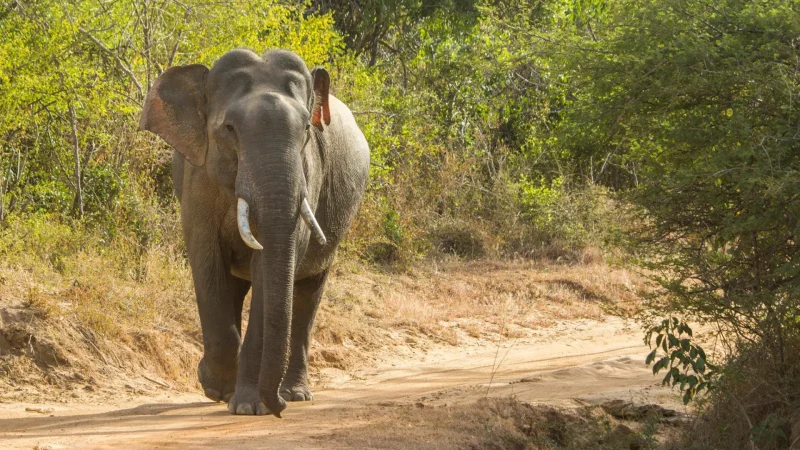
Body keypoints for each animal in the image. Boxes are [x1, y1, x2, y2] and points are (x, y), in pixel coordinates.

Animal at [138, 49, 369, 417]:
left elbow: (270, 269)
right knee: (235, 287)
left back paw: (294, 393)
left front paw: (247, 405)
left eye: (306, 128)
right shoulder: (197, 179)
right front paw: (216, 387)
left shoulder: (308, 176)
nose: (278, 409)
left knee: (307, 295)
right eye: (229, 128)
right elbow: (206, 260)